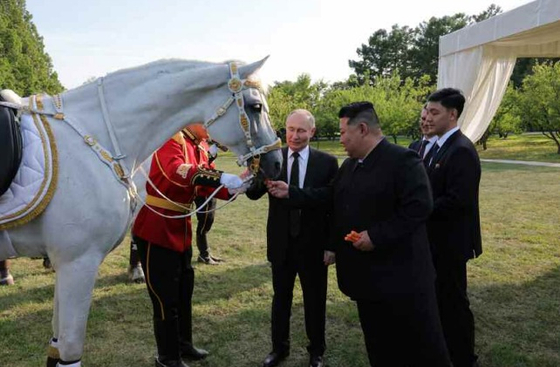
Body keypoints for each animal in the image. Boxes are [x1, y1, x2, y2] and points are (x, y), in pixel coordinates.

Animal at [0, 57, 280, 367]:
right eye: (256, 106)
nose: (277, 163)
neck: (98, 136)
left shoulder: (67, 261)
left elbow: (56, 343)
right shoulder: (78, 261)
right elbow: (71, 348)